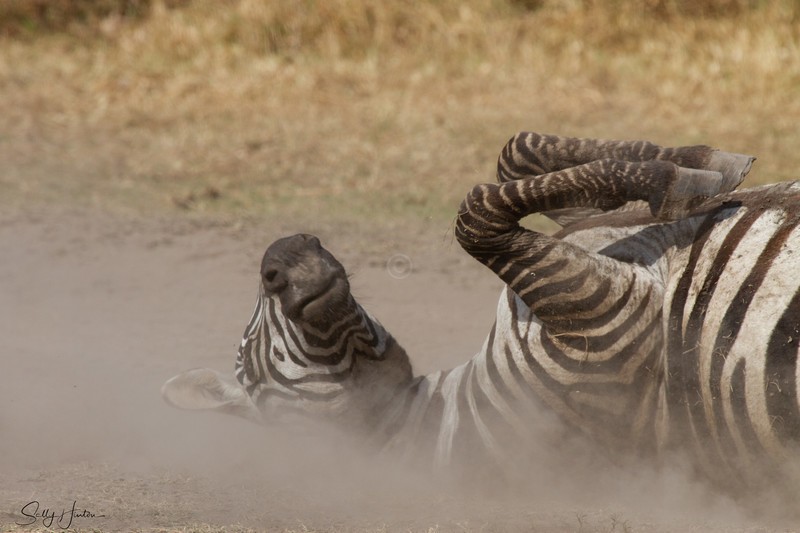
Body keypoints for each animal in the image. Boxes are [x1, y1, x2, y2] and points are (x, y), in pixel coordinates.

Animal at [162, 132, 800, 489]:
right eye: (246, 363)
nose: (284, 250)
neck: (432, 415)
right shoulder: (599, 324)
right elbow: (476, 213)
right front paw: (677, 180)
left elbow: (513, 153)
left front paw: (705, 160)